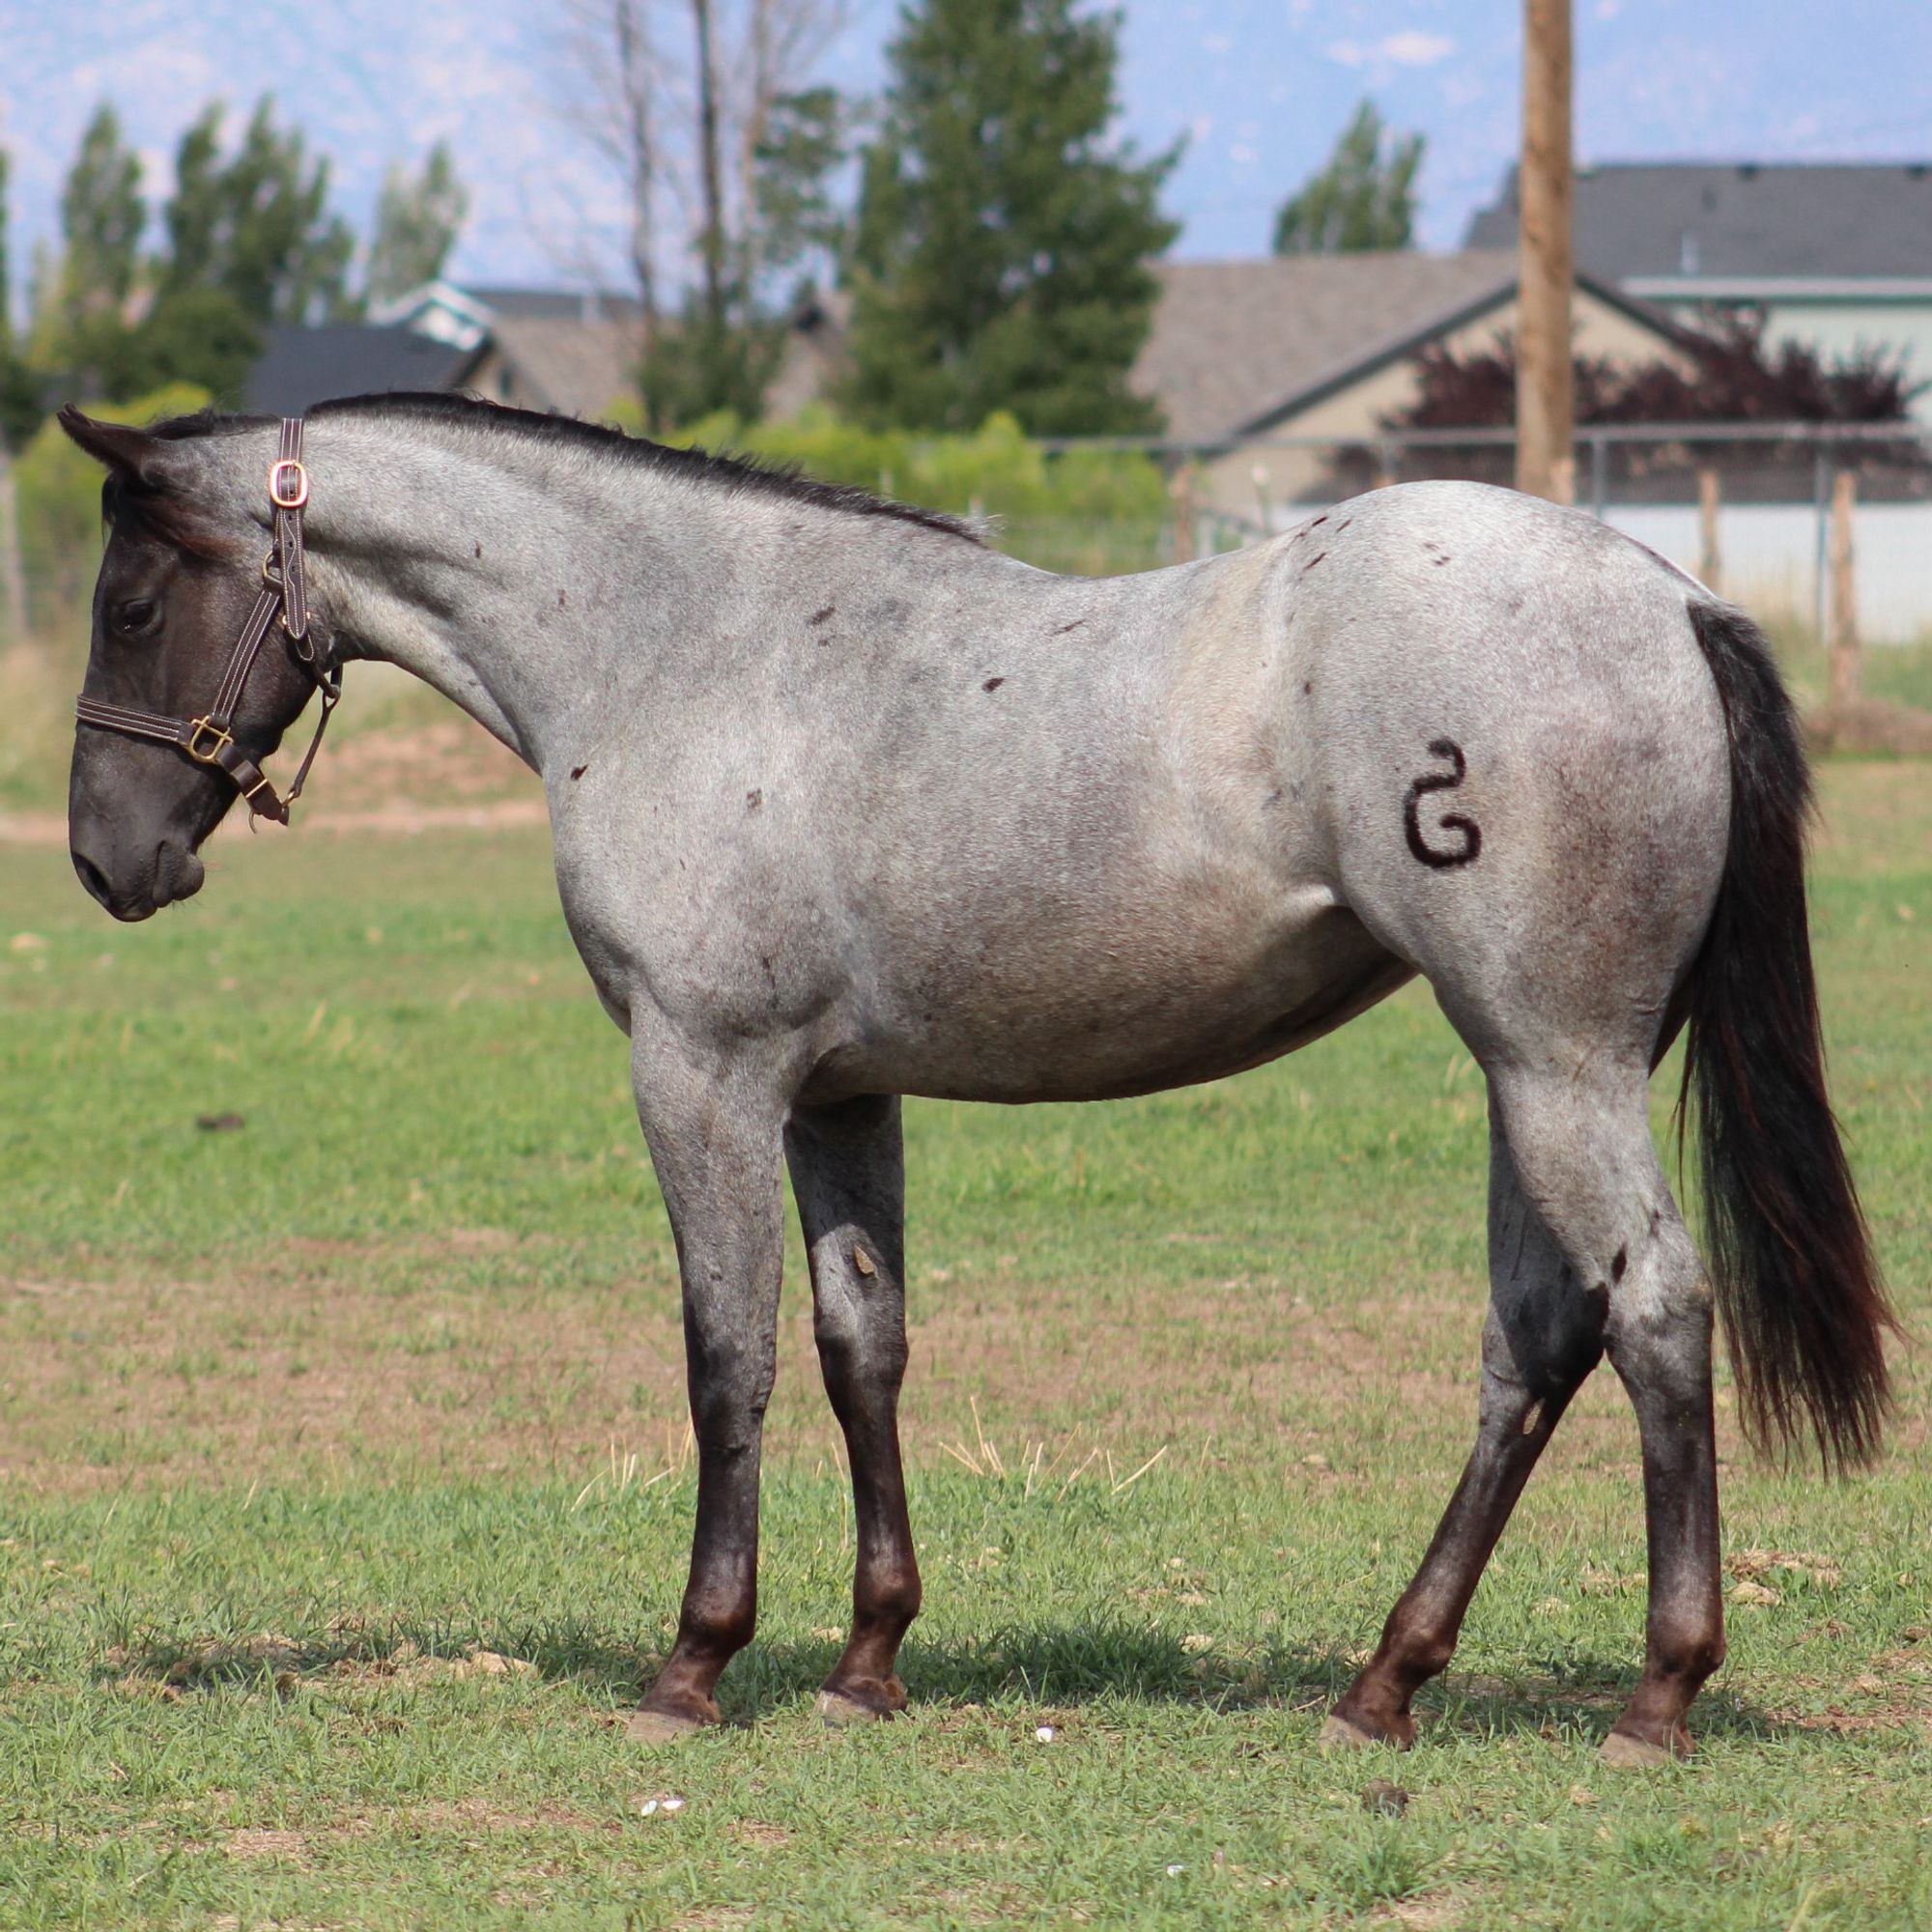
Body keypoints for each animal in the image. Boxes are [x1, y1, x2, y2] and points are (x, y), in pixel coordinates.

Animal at [59, 395, 1894, 1766]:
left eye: (133, 606)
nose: (102, 861)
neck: (687, 647)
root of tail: (1671, 600)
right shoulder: (834, 1097)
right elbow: (859, 1344)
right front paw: (867, 1661)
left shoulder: (701, 1074)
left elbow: (725, 1359)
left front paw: (694, 1665)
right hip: (1532, 1074)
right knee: (1537, 1341)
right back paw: (1385, 1684)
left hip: (1554, 1063)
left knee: (1653, 1311)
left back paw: (1657, 1694)